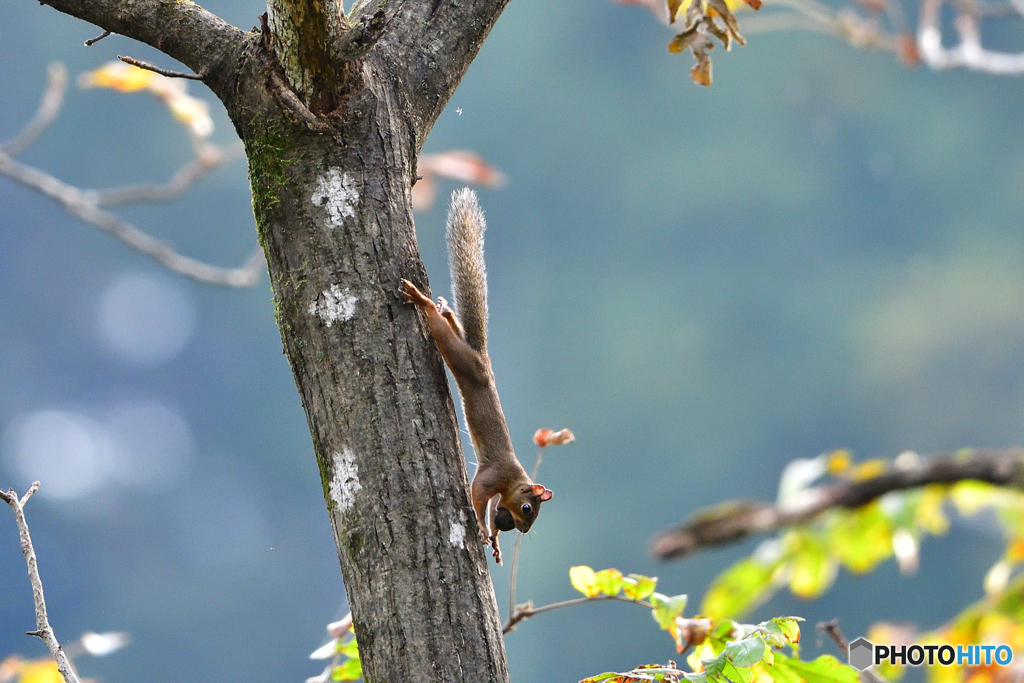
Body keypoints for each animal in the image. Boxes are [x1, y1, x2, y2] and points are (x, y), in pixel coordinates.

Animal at [399, 188, 552, 565]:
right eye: (528, 508)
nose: (519, 530)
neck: (515, 478)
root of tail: (483, 360)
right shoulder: (491, 476)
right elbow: (479, 496)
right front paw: (484, 528)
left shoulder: (500, 492)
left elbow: (493, 505)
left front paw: (495, 540)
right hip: (462, 360)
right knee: (442, 331)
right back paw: (423, 300)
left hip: (464, 355)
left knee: (451, 325)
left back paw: (445, 309)